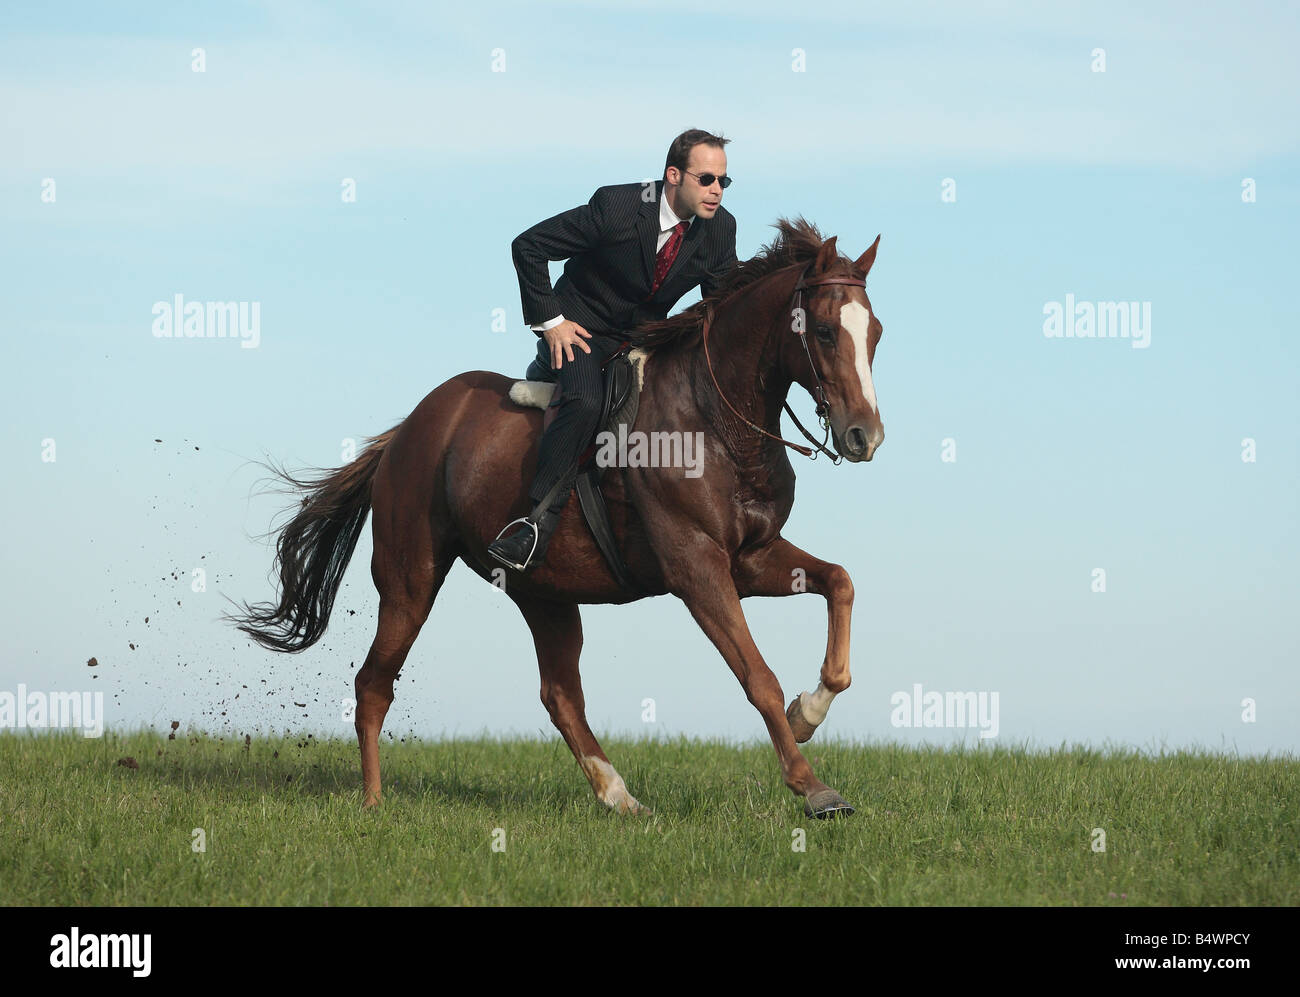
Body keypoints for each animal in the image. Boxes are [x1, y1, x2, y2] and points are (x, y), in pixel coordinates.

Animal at [227, 217, 885, 818]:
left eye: (875, 332)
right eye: (825, 331)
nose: (865, 436)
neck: (715, 419)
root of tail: (406, 432)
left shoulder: (750, 558)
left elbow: (840, 583)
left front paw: (808, 713)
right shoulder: (697, 566)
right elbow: (758, 677)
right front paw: (814, 788)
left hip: (545, 592)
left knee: (560, 695)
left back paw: (619, 796)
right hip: (410, 578)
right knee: (374, 684)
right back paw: (373, 802)